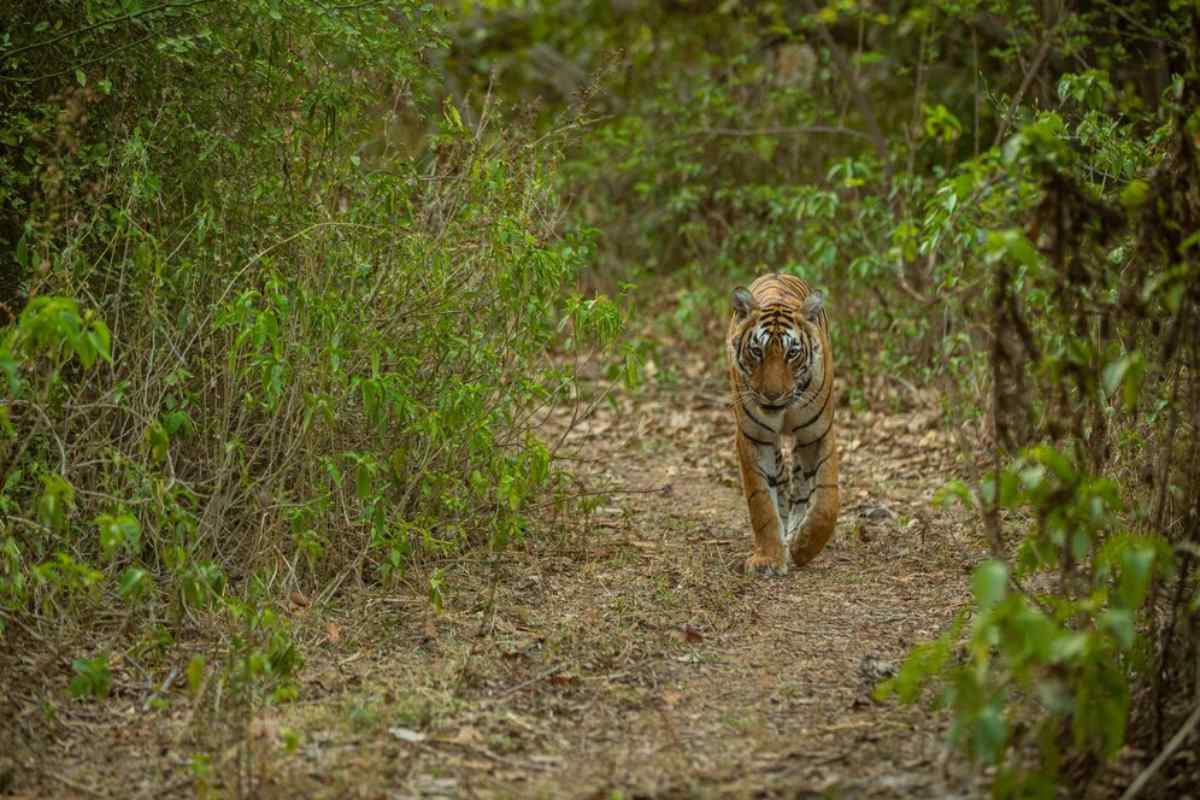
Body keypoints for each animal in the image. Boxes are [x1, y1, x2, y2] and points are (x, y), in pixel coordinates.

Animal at [724, 272, 840, 573]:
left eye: (792, 353)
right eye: (757, 351)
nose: (772, 396)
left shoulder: (817, 434)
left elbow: (826, 502)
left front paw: (804, 548)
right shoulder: (754, 437)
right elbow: (762, 502)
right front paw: (769, 557)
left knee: (801, 488)